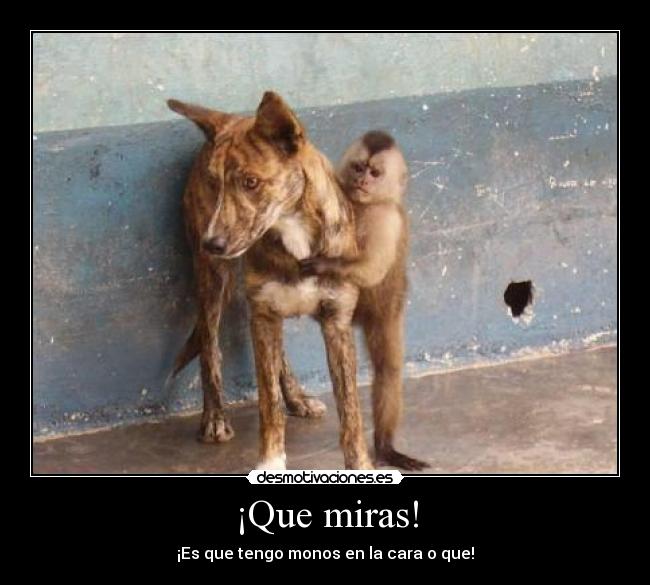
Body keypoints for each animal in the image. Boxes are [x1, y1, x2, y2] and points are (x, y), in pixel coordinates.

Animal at [300, 130, 429, 471]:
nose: (361, 180)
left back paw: (385, 447)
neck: (360, 204)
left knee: (388, 370)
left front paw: (324, 264)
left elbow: (371, 270)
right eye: (358, 168)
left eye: (375, 173)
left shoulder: (387, 219)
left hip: (385, 311)